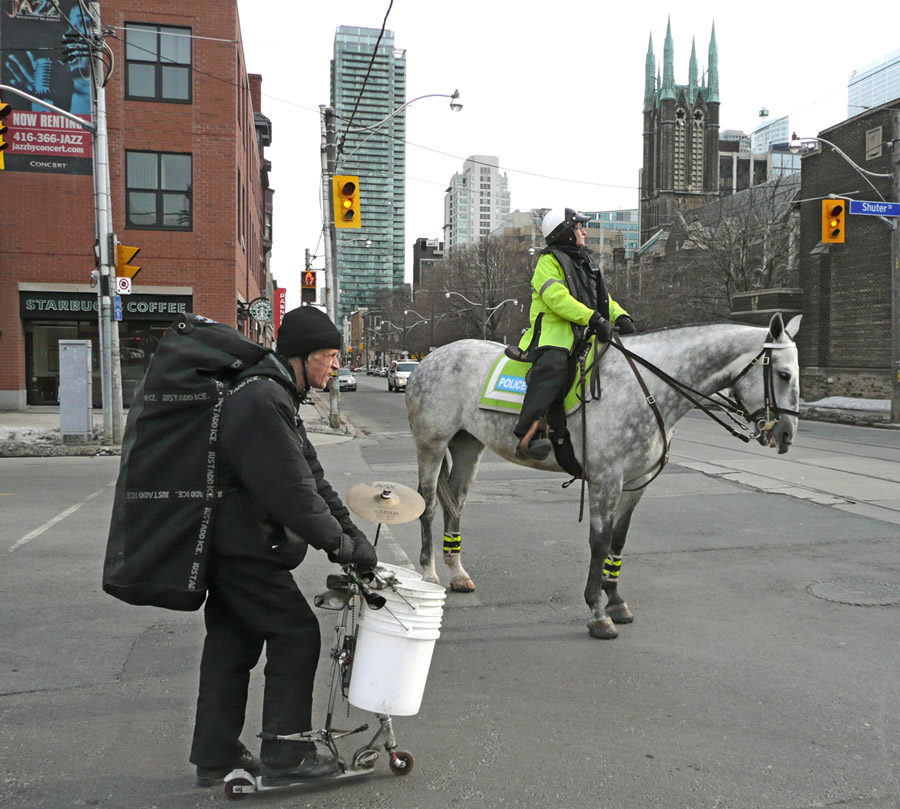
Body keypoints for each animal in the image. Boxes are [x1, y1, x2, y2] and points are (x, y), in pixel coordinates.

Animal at [408, 312, 800, 636]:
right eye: (784, 374)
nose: (786, 435)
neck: (648, 390)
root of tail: (430, 359)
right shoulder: (606, 479)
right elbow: (599, 541)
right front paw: (597, 611)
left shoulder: (635, 483)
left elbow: (618, 540)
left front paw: (615, 600)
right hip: (431, 445)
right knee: (428, 504)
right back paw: (429, 574)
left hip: (468, 446)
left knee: (456, 504)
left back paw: (458, 572)